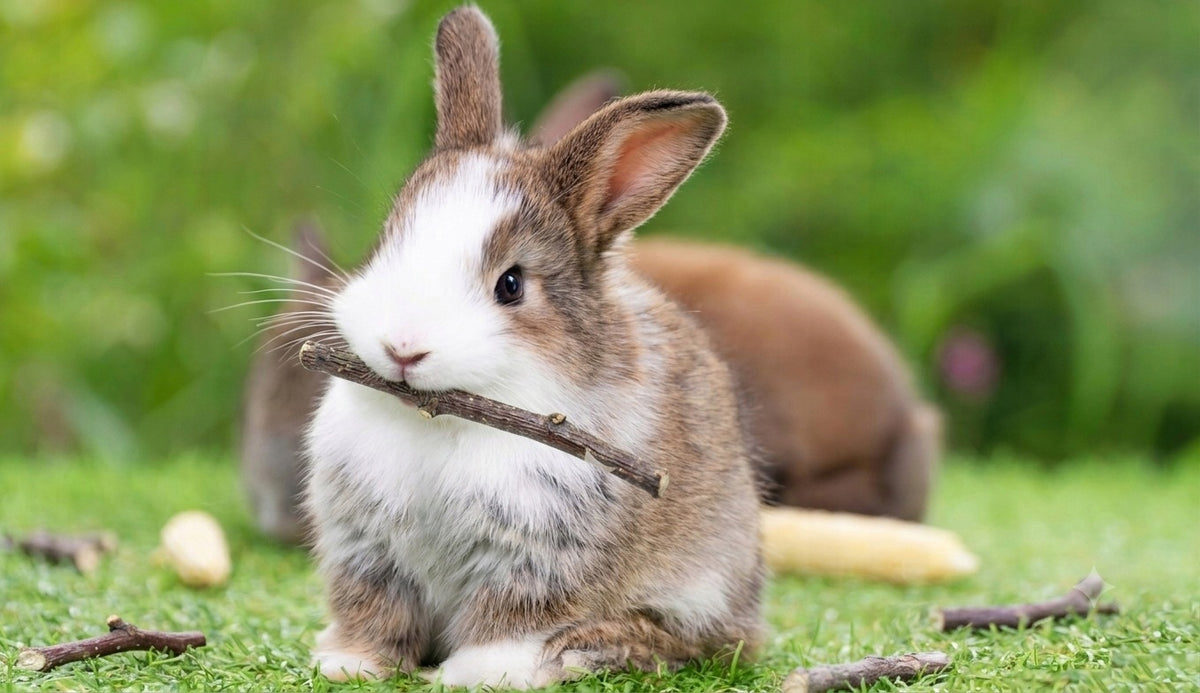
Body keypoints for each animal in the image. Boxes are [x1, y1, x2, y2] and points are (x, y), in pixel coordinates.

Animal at [301, 6, 763, 687]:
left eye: (511, 285)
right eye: (386, 243)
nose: (403, 346)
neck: (437, 420)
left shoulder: (540, 559)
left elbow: (510, 623)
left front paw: (475, 676)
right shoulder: (368, 551)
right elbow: (374, 610)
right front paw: (350, 664)